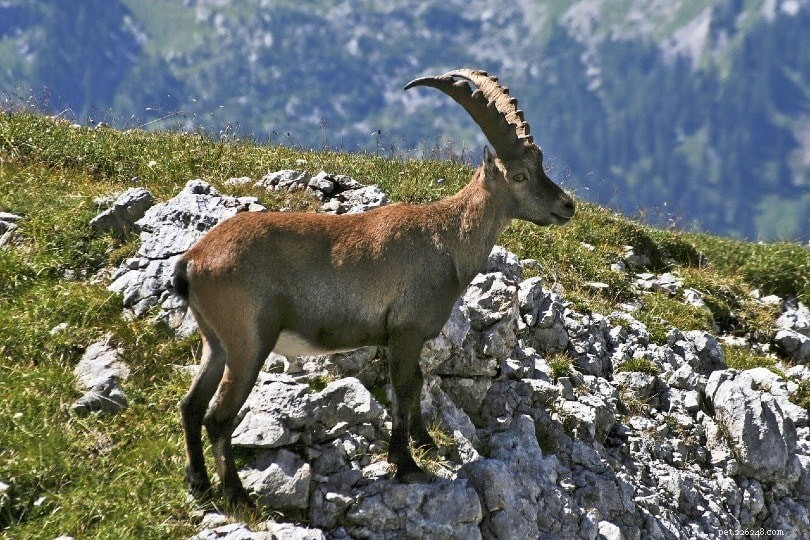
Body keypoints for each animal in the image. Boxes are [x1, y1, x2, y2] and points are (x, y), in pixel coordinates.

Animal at [173, 69, 575, 508]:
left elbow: (416, 383)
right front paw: (406, 464)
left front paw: (425, 443)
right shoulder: (406, 331)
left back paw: (198, 483)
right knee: (218, 416)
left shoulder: (403, 337)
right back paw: (237, 495)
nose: (567, 206)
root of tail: (192, 260)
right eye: (519, 175)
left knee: (191, 405)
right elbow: (404, 388)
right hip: (248, 342)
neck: (446, 238)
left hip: (216, 342)